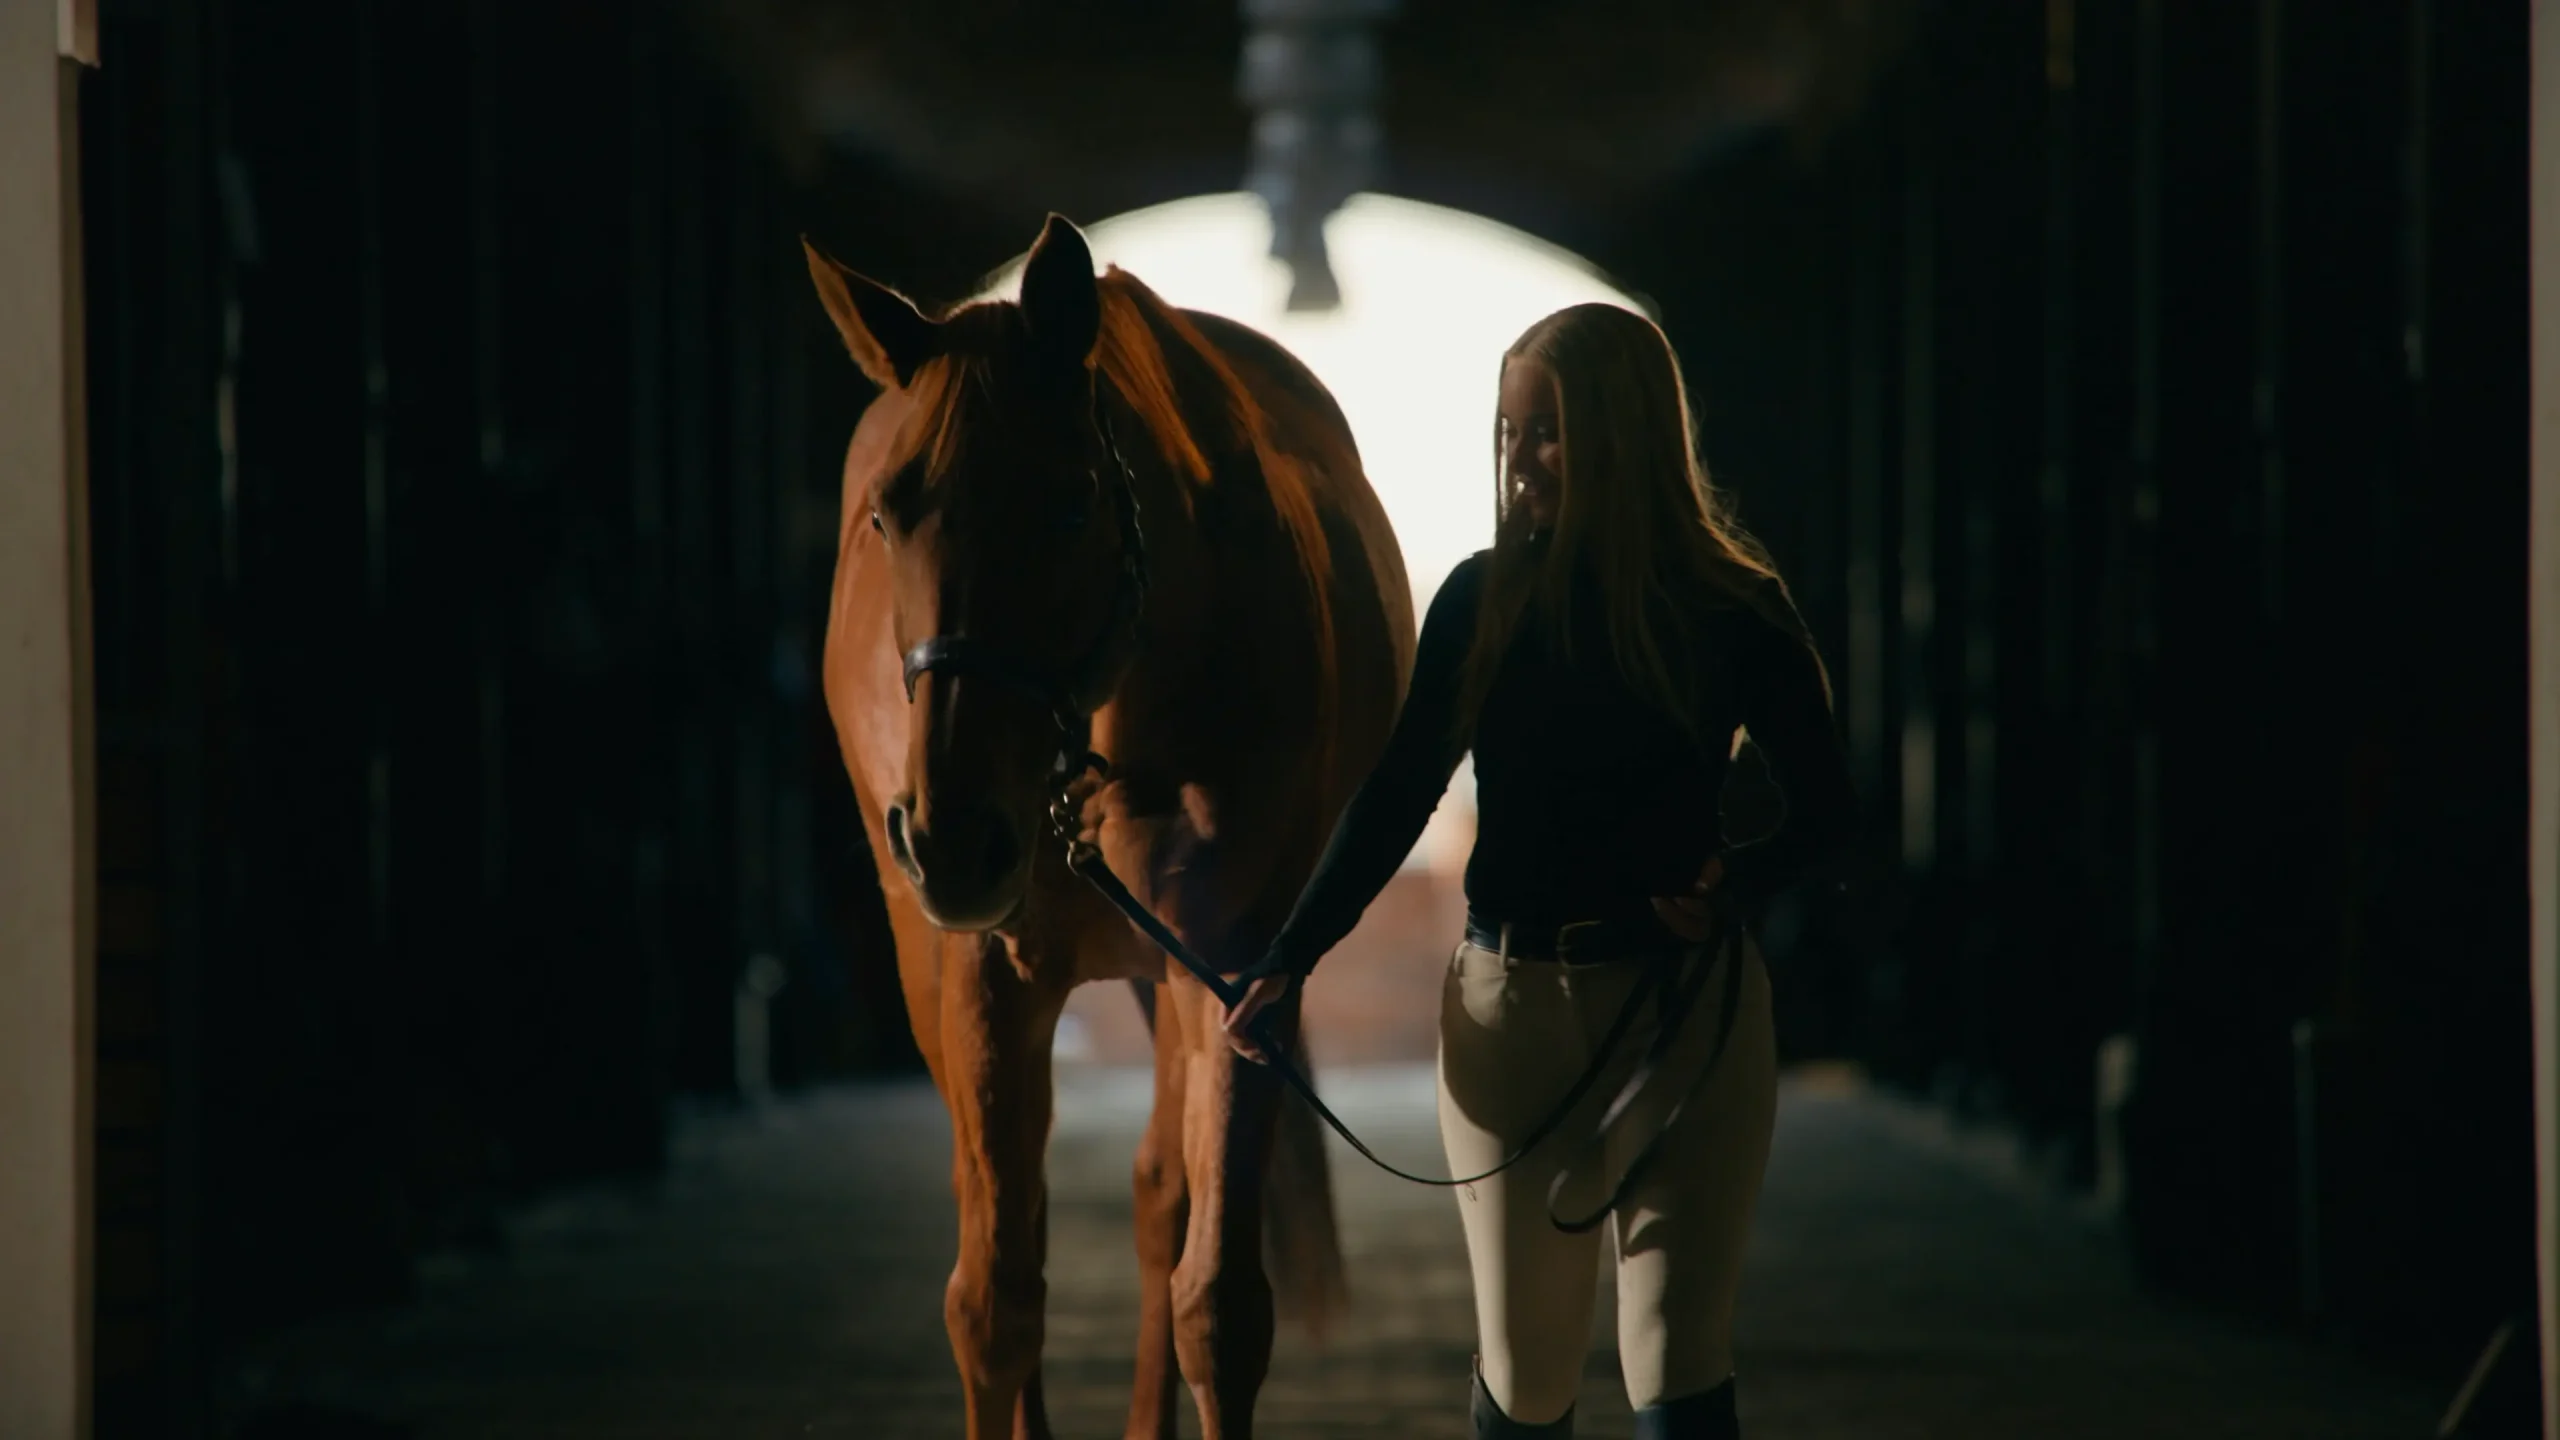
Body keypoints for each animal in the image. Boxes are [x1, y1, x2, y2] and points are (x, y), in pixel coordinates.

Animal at [803, 214, 1417, 1440]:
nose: (955, 844)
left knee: (1157, 1198)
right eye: (885, 514)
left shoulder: (1232, 970)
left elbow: (1214, 1303)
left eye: (1072, 501)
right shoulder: (984, 974)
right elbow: (993, 1299)